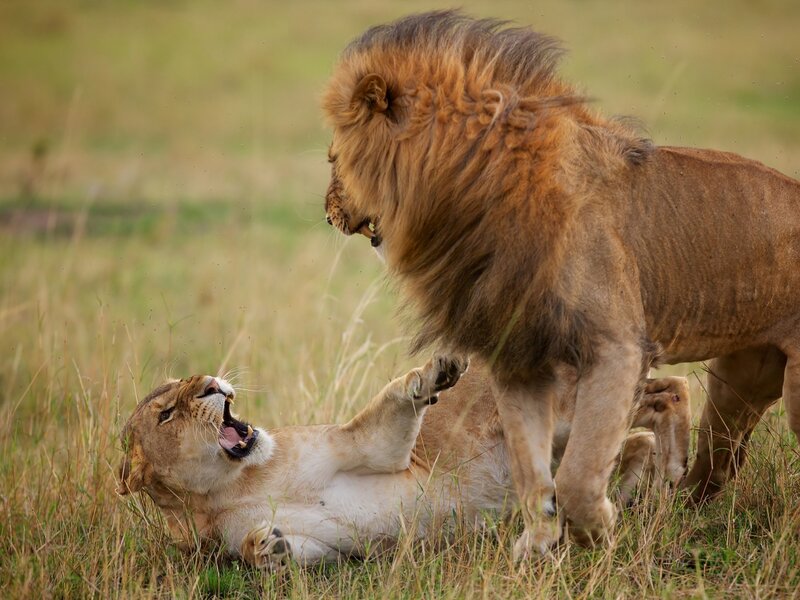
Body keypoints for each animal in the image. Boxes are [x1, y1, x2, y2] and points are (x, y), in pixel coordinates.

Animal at [117, 357, 690, 568]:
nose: (213, 384)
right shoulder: (327, 548)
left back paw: (676, 471)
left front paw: (434, 374)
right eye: (167, 413)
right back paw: (650, 487)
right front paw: (269, 546)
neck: (232, 486)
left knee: (668, 390)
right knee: (643, 426)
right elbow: (276, 552)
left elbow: (396, 400)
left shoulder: (364, 447)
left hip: (562, 412)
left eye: (188, 381)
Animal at [321, 11, 800, 558]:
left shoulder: (617, 348)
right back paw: (674, 494)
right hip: (735, 388)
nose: (327, 212)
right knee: (716, 463)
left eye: (334, 157)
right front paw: (536, 546)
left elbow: (578, 473)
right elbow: (531, 470)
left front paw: (598, 532)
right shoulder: (517, 355)